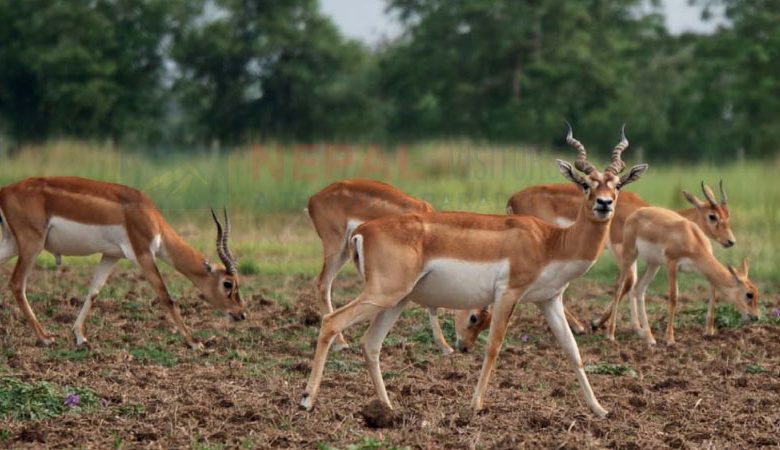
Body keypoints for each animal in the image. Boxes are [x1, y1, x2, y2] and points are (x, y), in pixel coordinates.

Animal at [0, 176, 244, 348]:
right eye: (228, 283)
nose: (240, 314)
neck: (149, 216)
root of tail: (5, 191)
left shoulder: (112, 256)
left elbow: (94, 292)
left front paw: (80, 337)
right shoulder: (143, 255)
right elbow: (165, 296)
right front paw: (195, 342)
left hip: (13, 245)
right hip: (32, 244)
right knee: (17, 283)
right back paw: (45, 337)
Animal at [306, 178, 484, 354]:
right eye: (474, 317)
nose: (466, 347)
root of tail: (313, 199)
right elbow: (431, 304)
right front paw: (445, 347)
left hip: (344, 252)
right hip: (336, 249)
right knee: (322, 283)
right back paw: (341, 343)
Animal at [508, 180, 736, 334]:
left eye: (727, 215)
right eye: (712, 216)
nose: (730, 241)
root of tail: (513, 199)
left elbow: (633, 284)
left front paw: (635, 327)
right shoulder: (620, 247)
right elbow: (628, 282)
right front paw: (598, 323)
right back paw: (579, 326)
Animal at [596, 206, 756, 346]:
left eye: (756, 292)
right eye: (749, 294)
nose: (755, 317)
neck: (691, 238)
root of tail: (636, 213)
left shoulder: (702, 271)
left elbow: (713, 293)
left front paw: (709, 332)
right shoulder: (671, 265)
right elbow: (673, 298)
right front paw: (670, 339)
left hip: (654, 264)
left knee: (639, 289)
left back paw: (650, 337)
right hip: (630, 255)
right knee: (619, 288)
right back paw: (610, 334)